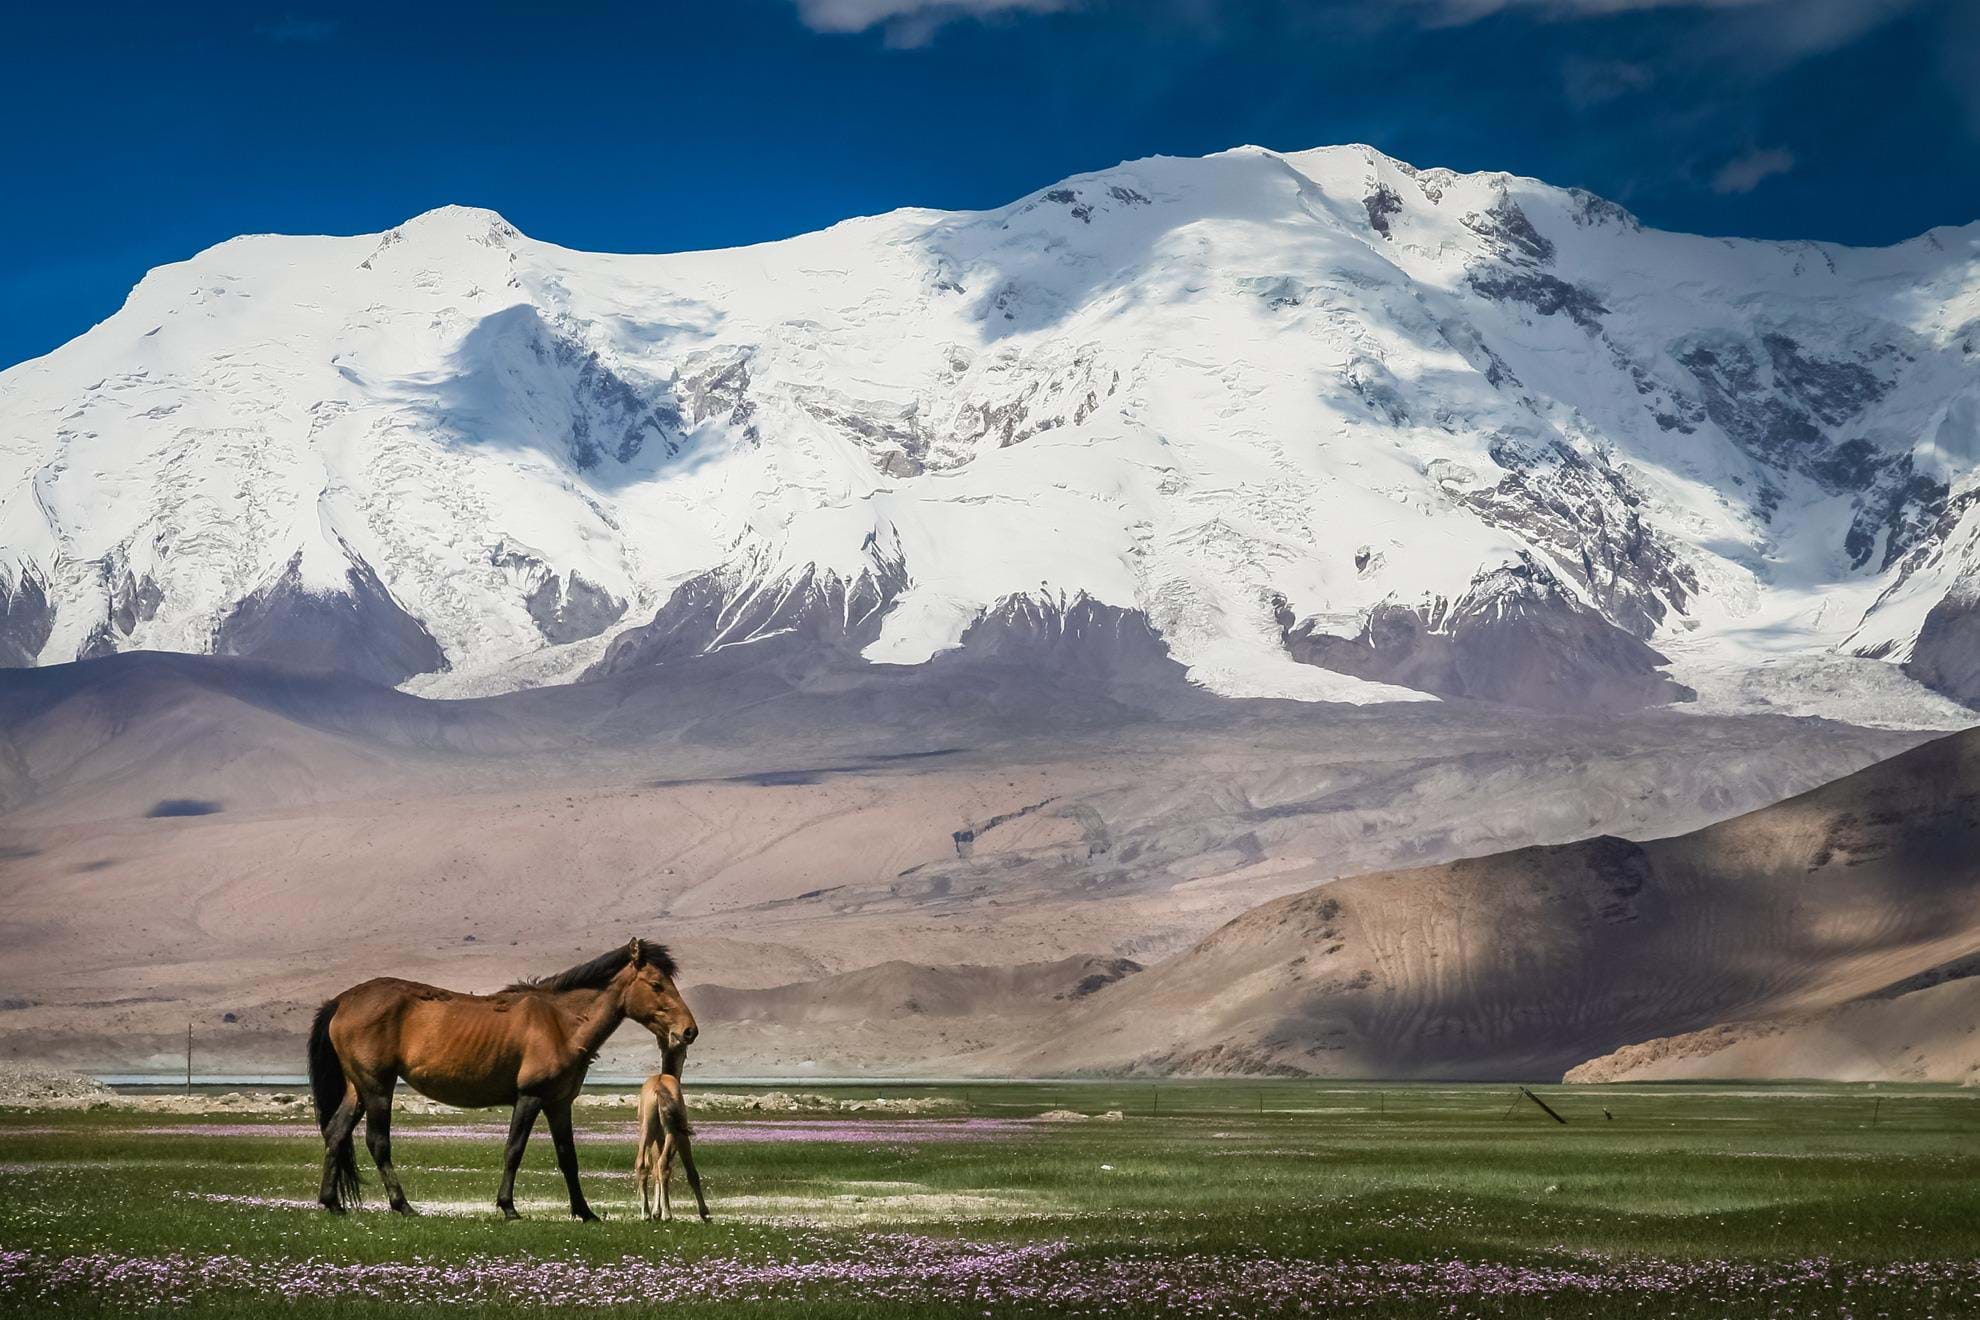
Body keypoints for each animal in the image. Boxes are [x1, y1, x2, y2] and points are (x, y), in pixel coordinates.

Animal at [304, 938, 700, 1219]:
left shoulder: (558, 1104)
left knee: (336, 1132)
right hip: (377, 1088)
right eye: (656, 984)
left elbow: (567, 1157)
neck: (562, 1023)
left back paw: (332, 1202)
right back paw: (402, 1205)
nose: (689, 1031)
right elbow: (514, 1150)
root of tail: (342, 1001)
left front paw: (584, 1212)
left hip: (358, 1088)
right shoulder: (529, 1097)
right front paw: (508, 1207)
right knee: (377, 1142)